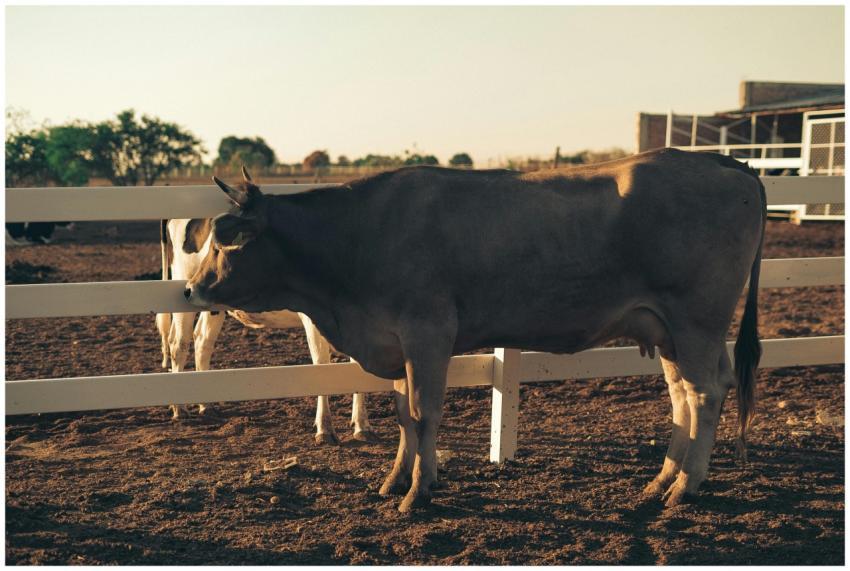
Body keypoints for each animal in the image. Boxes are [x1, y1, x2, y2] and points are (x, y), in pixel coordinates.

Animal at [155, 171, 377, 444]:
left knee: (202, 341)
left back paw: (205, 405)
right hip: (185, 287)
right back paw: (179, 408)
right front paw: (325, 428)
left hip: (212, 304)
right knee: (179, 343)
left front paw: (361, 425)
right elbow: (321, 362)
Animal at [184, 148, 765, 512]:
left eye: (225, 239)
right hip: (668, 331)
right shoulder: (398, 343)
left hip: (695, 321)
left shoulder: (428, 334)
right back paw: (659, 480)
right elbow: (404, 415)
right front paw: (396, 480)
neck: (360, 235)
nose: (190, 289)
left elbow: (423, 413)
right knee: (683, 396)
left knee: (705, 394)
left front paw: (417, 494)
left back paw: (684, 488)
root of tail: (724, 162)